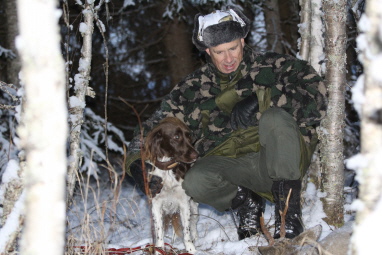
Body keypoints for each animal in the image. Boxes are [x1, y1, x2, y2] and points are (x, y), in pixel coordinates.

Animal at [143, 117, 200, 253]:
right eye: (176, 137)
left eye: (189, 136)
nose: (197, 155)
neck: (167, 170)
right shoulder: (156, 204)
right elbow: (159, 232)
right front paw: (159, 249)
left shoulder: (184, 203)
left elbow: (186, 230)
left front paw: (190, 248)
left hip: (194, 207)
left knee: (193, 223)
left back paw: (195, 237)